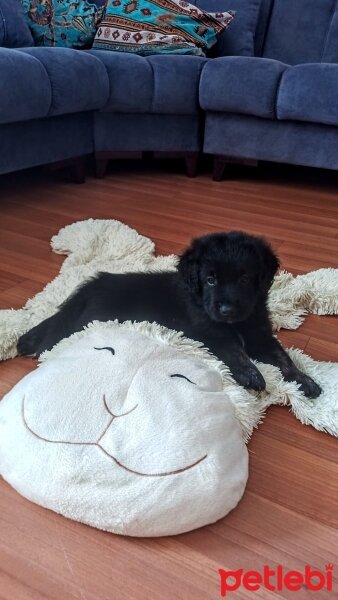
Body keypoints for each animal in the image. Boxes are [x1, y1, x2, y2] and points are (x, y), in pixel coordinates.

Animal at [17, 231, 320, 398]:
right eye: (210, 279)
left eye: (245, 279)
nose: (227, 310)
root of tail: (94, 285)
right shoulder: (213, 335)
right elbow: (236, 352)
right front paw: (252, 374)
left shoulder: (261, 335)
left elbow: (284, 358)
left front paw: (304, 380)